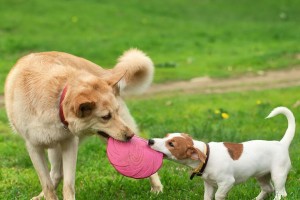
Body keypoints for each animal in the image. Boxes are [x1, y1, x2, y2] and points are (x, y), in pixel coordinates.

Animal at [4, 48, 162, 200]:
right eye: (106, 117)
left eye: (115, 111)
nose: (130, 135)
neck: (57, 100)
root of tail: (103, 71)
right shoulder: (34, 147)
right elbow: (47, 184)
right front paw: (47, 194)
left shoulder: (70, 144)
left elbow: (68, 185)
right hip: (53, 147)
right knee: (55, 174)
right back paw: (41, 196)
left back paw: (157, 188)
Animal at [149, 107, 294, 200]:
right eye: (166, 136)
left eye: (171, 144)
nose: (150, 141)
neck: (207, 155)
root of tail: (281, 144)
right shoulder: (208, 184)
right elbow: (207, 197)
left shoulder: (227, 182)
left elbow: (219, 195)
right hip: (262, 175)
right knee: (268, 189)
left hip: (278, 174)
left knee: (281, 193)